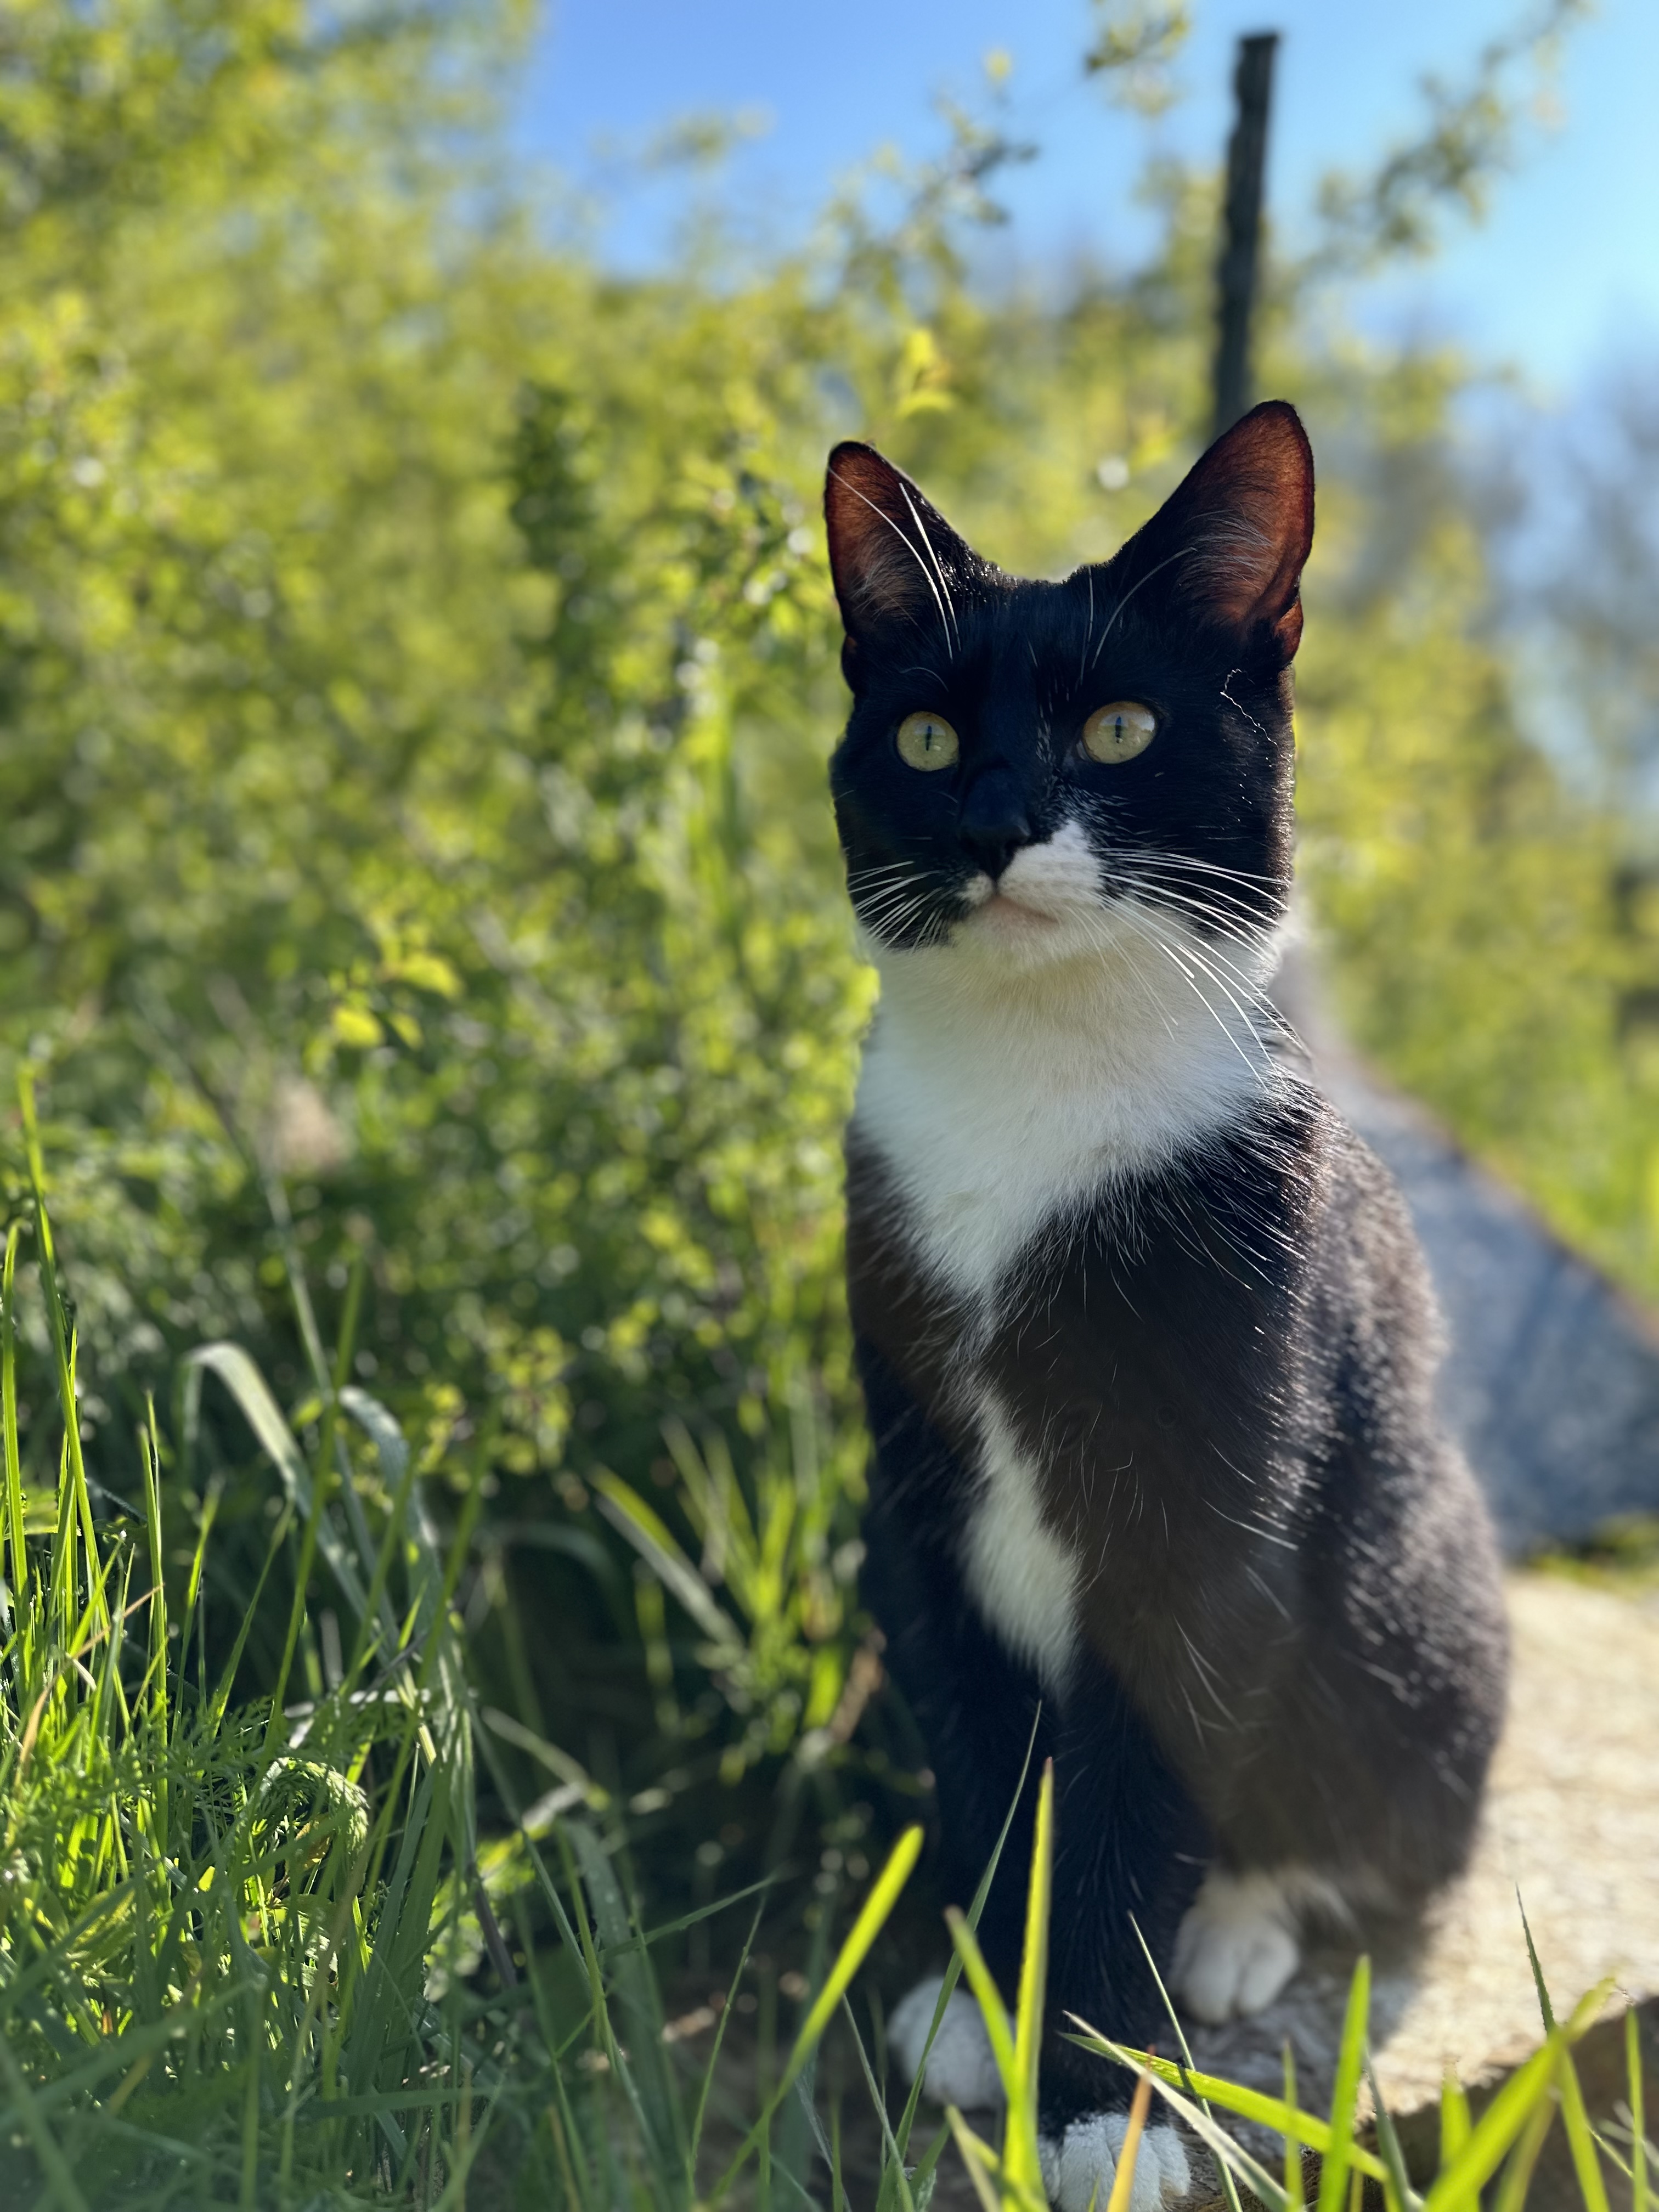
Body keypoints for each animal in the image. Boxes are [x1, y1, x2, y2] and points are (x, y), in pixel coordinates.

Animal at [827, 402, 1513, 2212]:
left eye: (1122, 727)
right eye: (926, 736)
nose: (996, 820)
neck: (1037, 1083)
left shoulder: (1210, 1498)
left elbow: (1148, 1794)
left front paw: (1094, 2099)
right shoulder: (914, 1496)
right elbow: (994, 1763)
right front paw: (991, 2005)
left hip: (1416, 1597)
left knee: (1377, 1835)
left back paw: (1240, 1930)